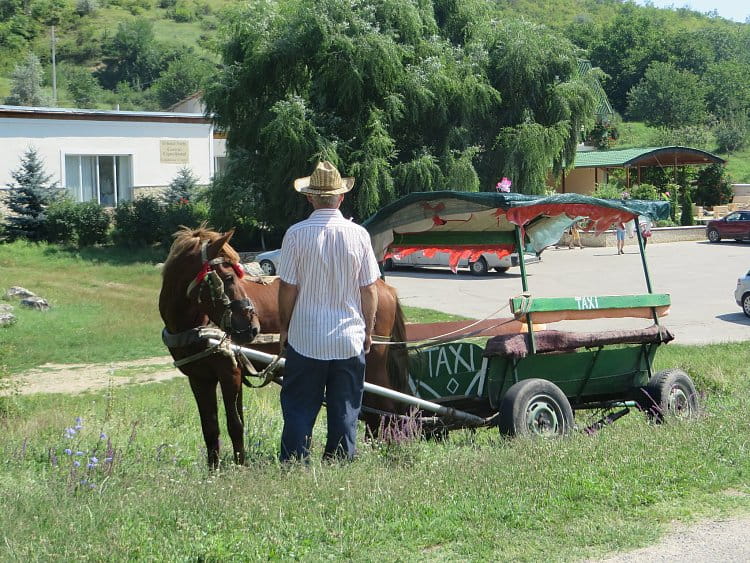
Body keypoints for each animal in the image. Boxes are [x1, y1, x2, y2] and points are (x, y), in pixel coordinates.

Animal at [157, 225, 406, 468]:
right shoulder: (199, 378)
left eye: (234, 276)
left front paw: (239, 467)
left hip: (373, 366)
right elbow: (209, 427)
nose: (253, 328)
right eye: (228, 277)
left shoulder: (230, 372)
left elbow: (235, 423)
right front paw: (213, 470)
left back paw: (389, 452)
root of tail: (383, 288)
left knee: (387, 409)